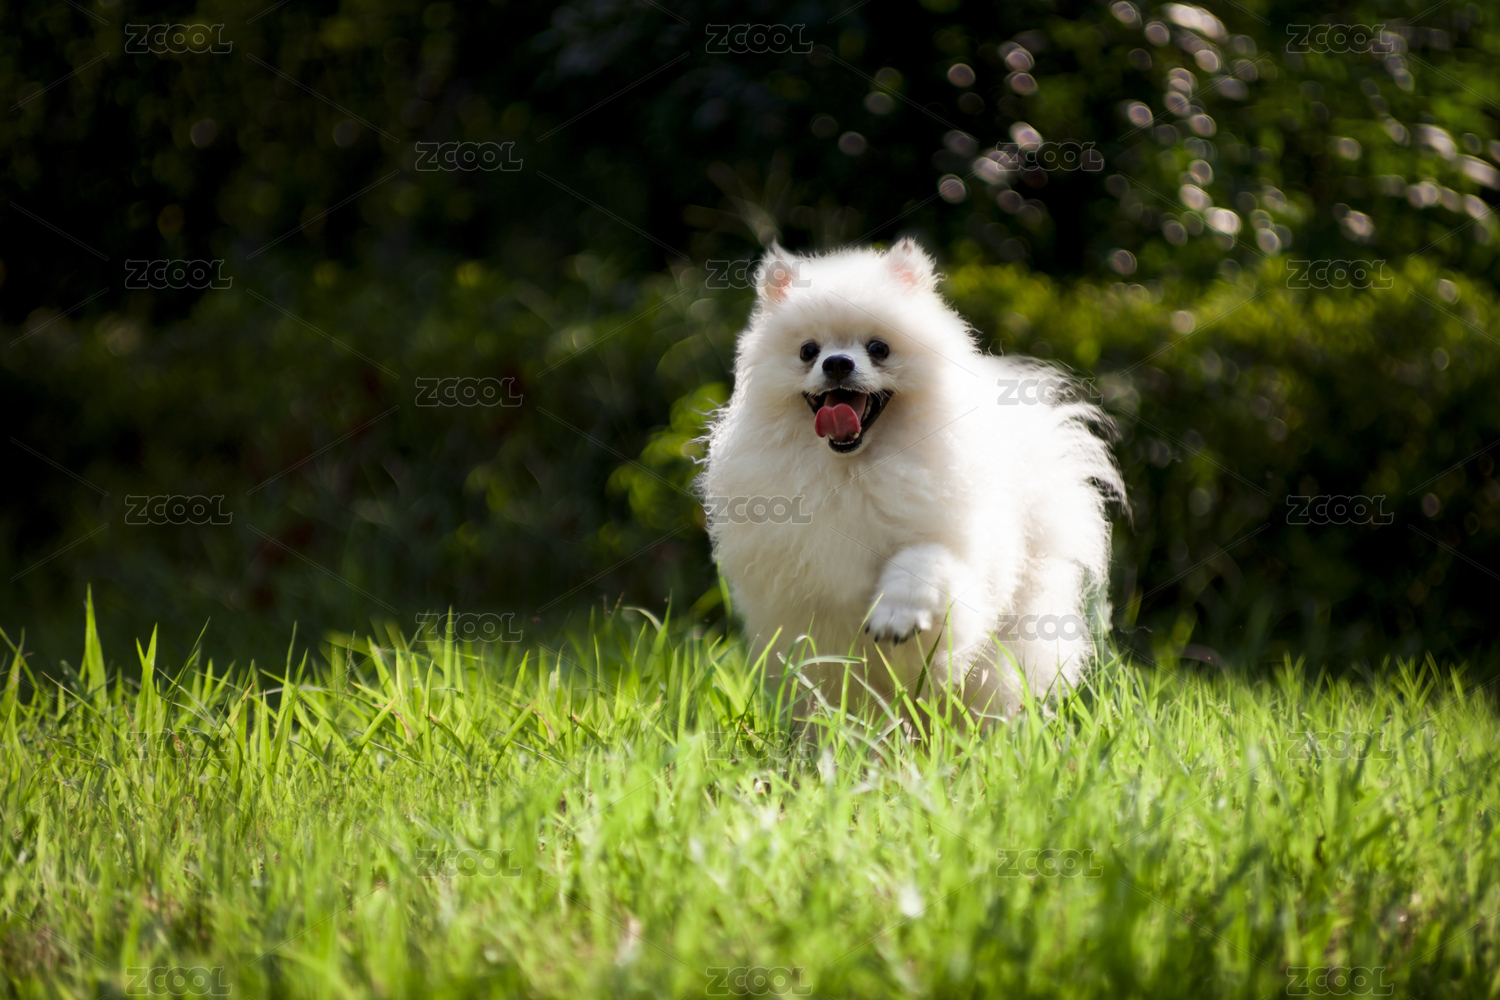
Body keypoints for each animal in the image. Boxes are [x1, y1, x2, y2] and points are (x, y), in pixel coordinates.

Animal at [699, 239, 1123, 721]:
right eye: (808, 351)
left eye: (879, 348)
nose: (837, 363)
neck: (855, 469)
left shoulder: (955, 546)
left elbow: (922, 561)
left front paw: (896, 615)